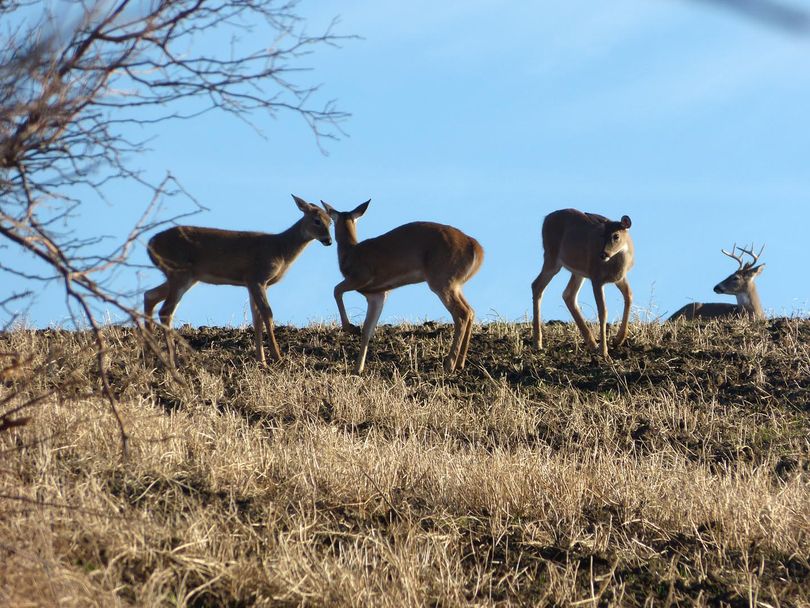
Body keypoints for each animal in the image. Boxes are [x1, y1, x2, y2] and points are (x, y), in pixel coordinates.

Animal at [144, 196, 332, 366]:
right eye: (316, 220)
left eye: (330, 221)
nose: (329, 240)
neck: (280, 250)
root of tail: (150, 243)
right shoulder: (256, 277)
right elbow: (267, 313)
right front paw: (277, 357)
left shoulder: (252, 283)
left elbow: (256, 319)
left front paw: (262, 361)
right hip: (179, 273)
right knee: (165, 310)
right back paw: (172, 360)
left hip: (186, 277)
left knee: (149, 295)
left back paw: (150, 352)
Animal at [318, 200, 482, 376]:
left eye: (331, 220)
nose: (327, 240)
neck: (350, 253)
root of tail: (476, 248)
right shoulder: (378, 294)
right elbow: (367, 330)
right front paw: (358, 369)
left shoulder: (360, 277)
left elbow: (336, 290)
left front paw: (350, 328)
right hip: (455, 284)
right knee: (471, 311)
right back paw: (460, 363)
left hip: (442, 280)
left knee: (462, 314)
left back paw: (449, 364)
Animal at [528, 209, 636, 360]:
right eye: (602, 235)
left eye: (616, 235)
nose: (603, 254)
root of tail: (546, 219)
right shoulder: (596, 278)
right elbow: (603, 312)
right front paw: (604, 351)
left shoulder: (620, 278)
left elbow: (629, 296)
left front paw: (618, 340)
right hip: (551, 257)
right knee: (537, 285)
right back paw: (537, 343)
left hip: (578, 272)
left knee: (568, 294)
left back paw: (592, 343)